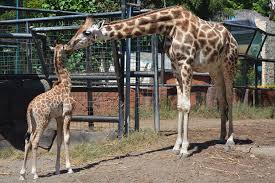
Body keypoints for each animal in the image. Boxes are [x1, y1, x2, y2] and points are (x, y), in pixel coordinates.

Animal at [19, 43, 74, 179]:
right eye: (65, 46)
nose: (70, 48)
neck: (66, 84)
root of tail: (30, 107)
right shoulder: (68, 114)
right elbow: (66, 138)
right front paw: (69, 168)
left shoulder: (59, 117)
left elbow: (59, 140)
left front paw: (58, 170)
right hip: (43, 121)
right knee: (35, 141)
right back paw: (34, 173)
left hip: (32, 123)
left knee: (27, 140)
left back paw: (22, 174)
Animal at [66, 5, 239, 157]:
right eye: (78, 30)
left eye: (87, 32)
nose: (68, 46)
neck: (170, 26)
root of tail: (233, 39)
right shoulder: (176, 67)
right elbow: (179, 105)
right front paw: (176, 146)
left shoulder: (186, 64)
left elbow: (187, 105)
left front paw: (184, 149)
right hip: (214, 69)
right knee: (222, 98)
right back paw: (221, 136)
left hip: (229, 65)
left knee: (230, 97)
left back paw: (230, 140)